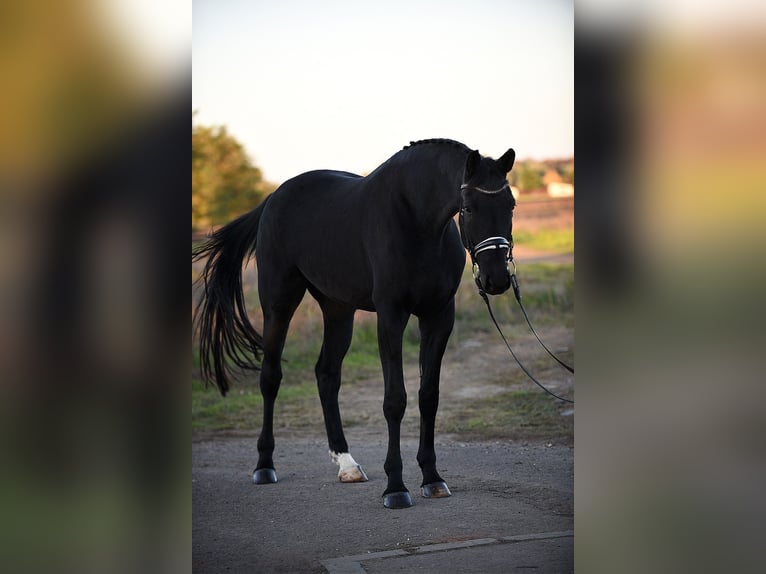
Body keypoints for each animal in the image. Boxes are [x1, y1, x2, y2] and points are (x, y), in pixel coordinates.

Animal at [194, 140, 516, 508]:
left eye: (510, 205)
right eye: (469, 208)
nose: (497, 278)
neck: (415, 219)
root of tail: (273, 198)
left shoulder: (438, 317)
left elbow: (428, 397)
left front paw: (432, 478)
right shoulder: (391, 316)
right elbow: (395, 400)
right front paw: (396, 487)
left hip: (338, 310)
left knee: (326, 374)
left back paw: (347, 464)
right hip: (278, 304)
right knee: (270, 378)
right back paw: (264, 465)